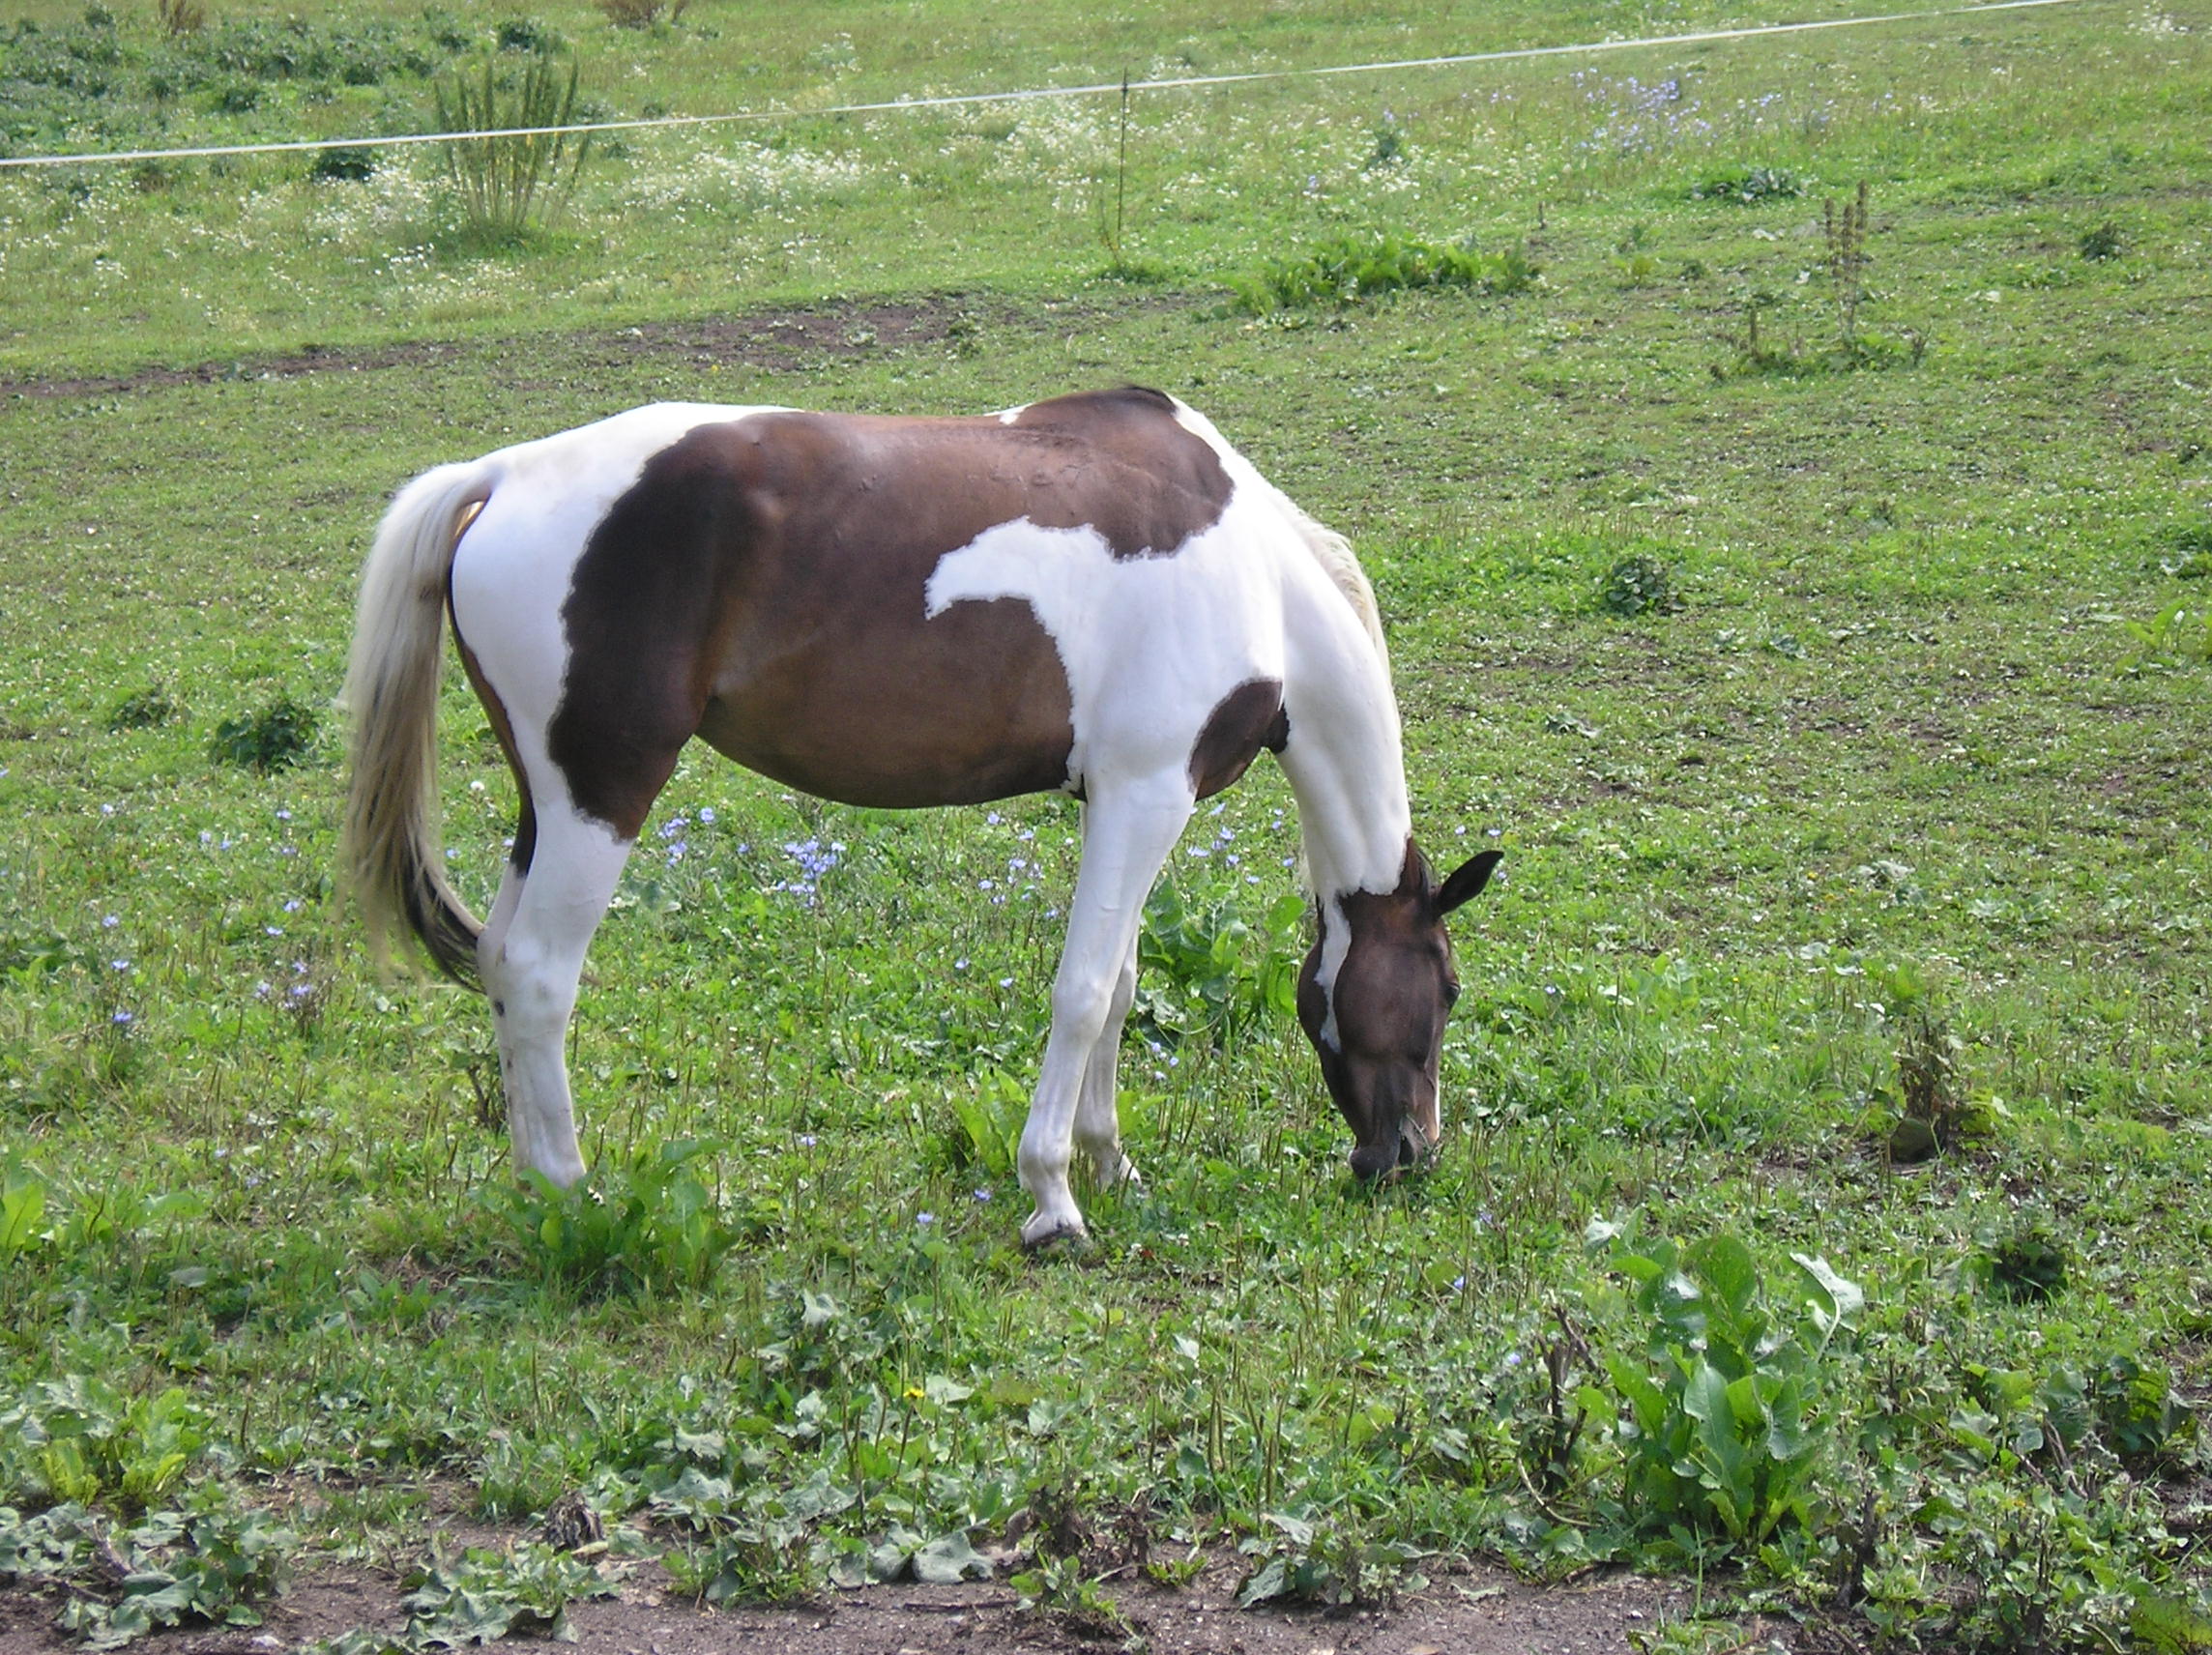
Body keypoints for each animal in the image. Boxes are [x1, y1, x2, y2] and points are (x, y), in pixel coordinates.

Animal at [344, 387, 1503, 1238]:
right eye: (1444, 989)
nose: (1409, 1154)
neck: (1253, 574)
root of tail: (501, 476)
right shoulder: (1145, 794)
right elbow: (1084, 992)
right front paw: (1052, 1198)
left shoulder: (1123, 803)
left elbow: (1123, 986)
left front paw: (1112, 1164)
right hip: (603, 795)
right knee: (541, 975)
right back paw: (574, 1197)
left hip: (545, 803)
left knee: (500, 964)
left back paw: (528, 1188)